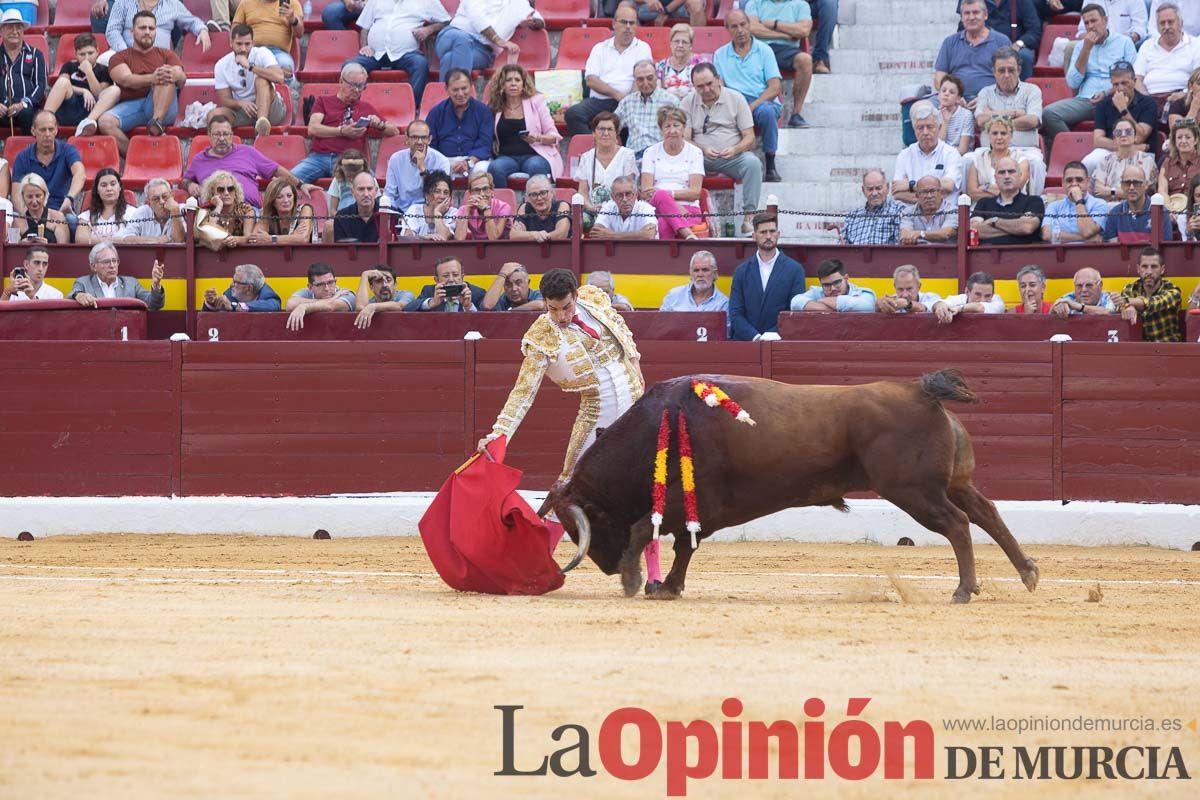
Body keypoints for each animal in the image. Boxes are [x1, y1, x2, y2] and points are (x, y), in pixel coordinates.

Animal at [544, 371, 1041, 604]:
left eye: (582, 527)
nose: (608, 568)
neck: (659, 426)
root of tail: (920, 392)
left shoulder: (692, 505)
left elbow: (649, 531)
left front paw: (641, 581)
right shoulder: (695, 512)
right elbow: (682, 545)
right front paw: (666, 586)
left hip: (914, 491)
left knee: (958, 525)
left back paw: (964, 589)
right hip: (951, 484)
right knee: (987, 513)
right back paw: (1027, 572)